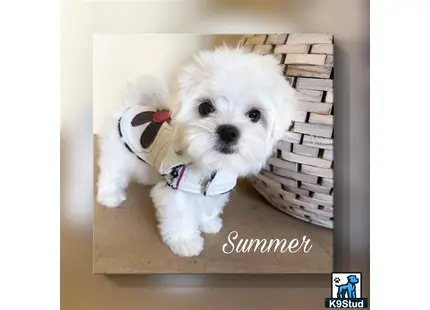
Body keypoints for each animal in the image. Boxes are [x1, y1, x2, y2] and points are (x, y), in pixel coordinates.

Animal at [96, 44, 298, 256]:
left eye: (255, 114)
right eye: (205, 108)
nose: (228, 131)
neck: (211, 165)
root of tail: (131, 106)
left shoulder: (217, 189)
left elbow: (209, 206)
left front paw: (208, 223)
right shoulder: (176, 186)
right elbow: (181, 213)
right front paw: (185, 241)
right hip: (117, 154)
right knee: (111, 174)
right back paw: (109, 196)